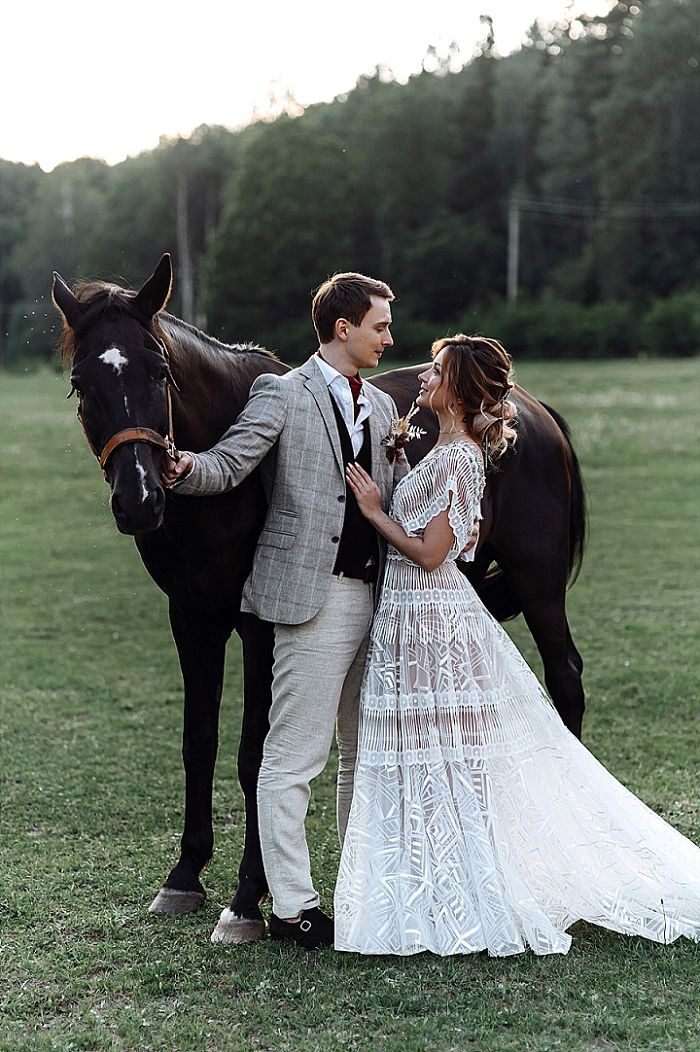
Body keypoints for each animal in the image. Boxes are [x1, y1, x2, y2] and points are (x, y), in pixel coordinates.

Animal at [51, 254, 581, 946]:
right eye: (81, 382)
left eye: (158, 370)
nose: (140, 497)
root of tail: (530, 409)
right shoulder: (192, 618)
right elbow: (199, 742)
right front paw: (185, 876)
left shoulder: (261, 627)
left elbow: (255, 753)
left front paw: (248, 900)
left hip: (539, 583)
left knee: (565, 678)